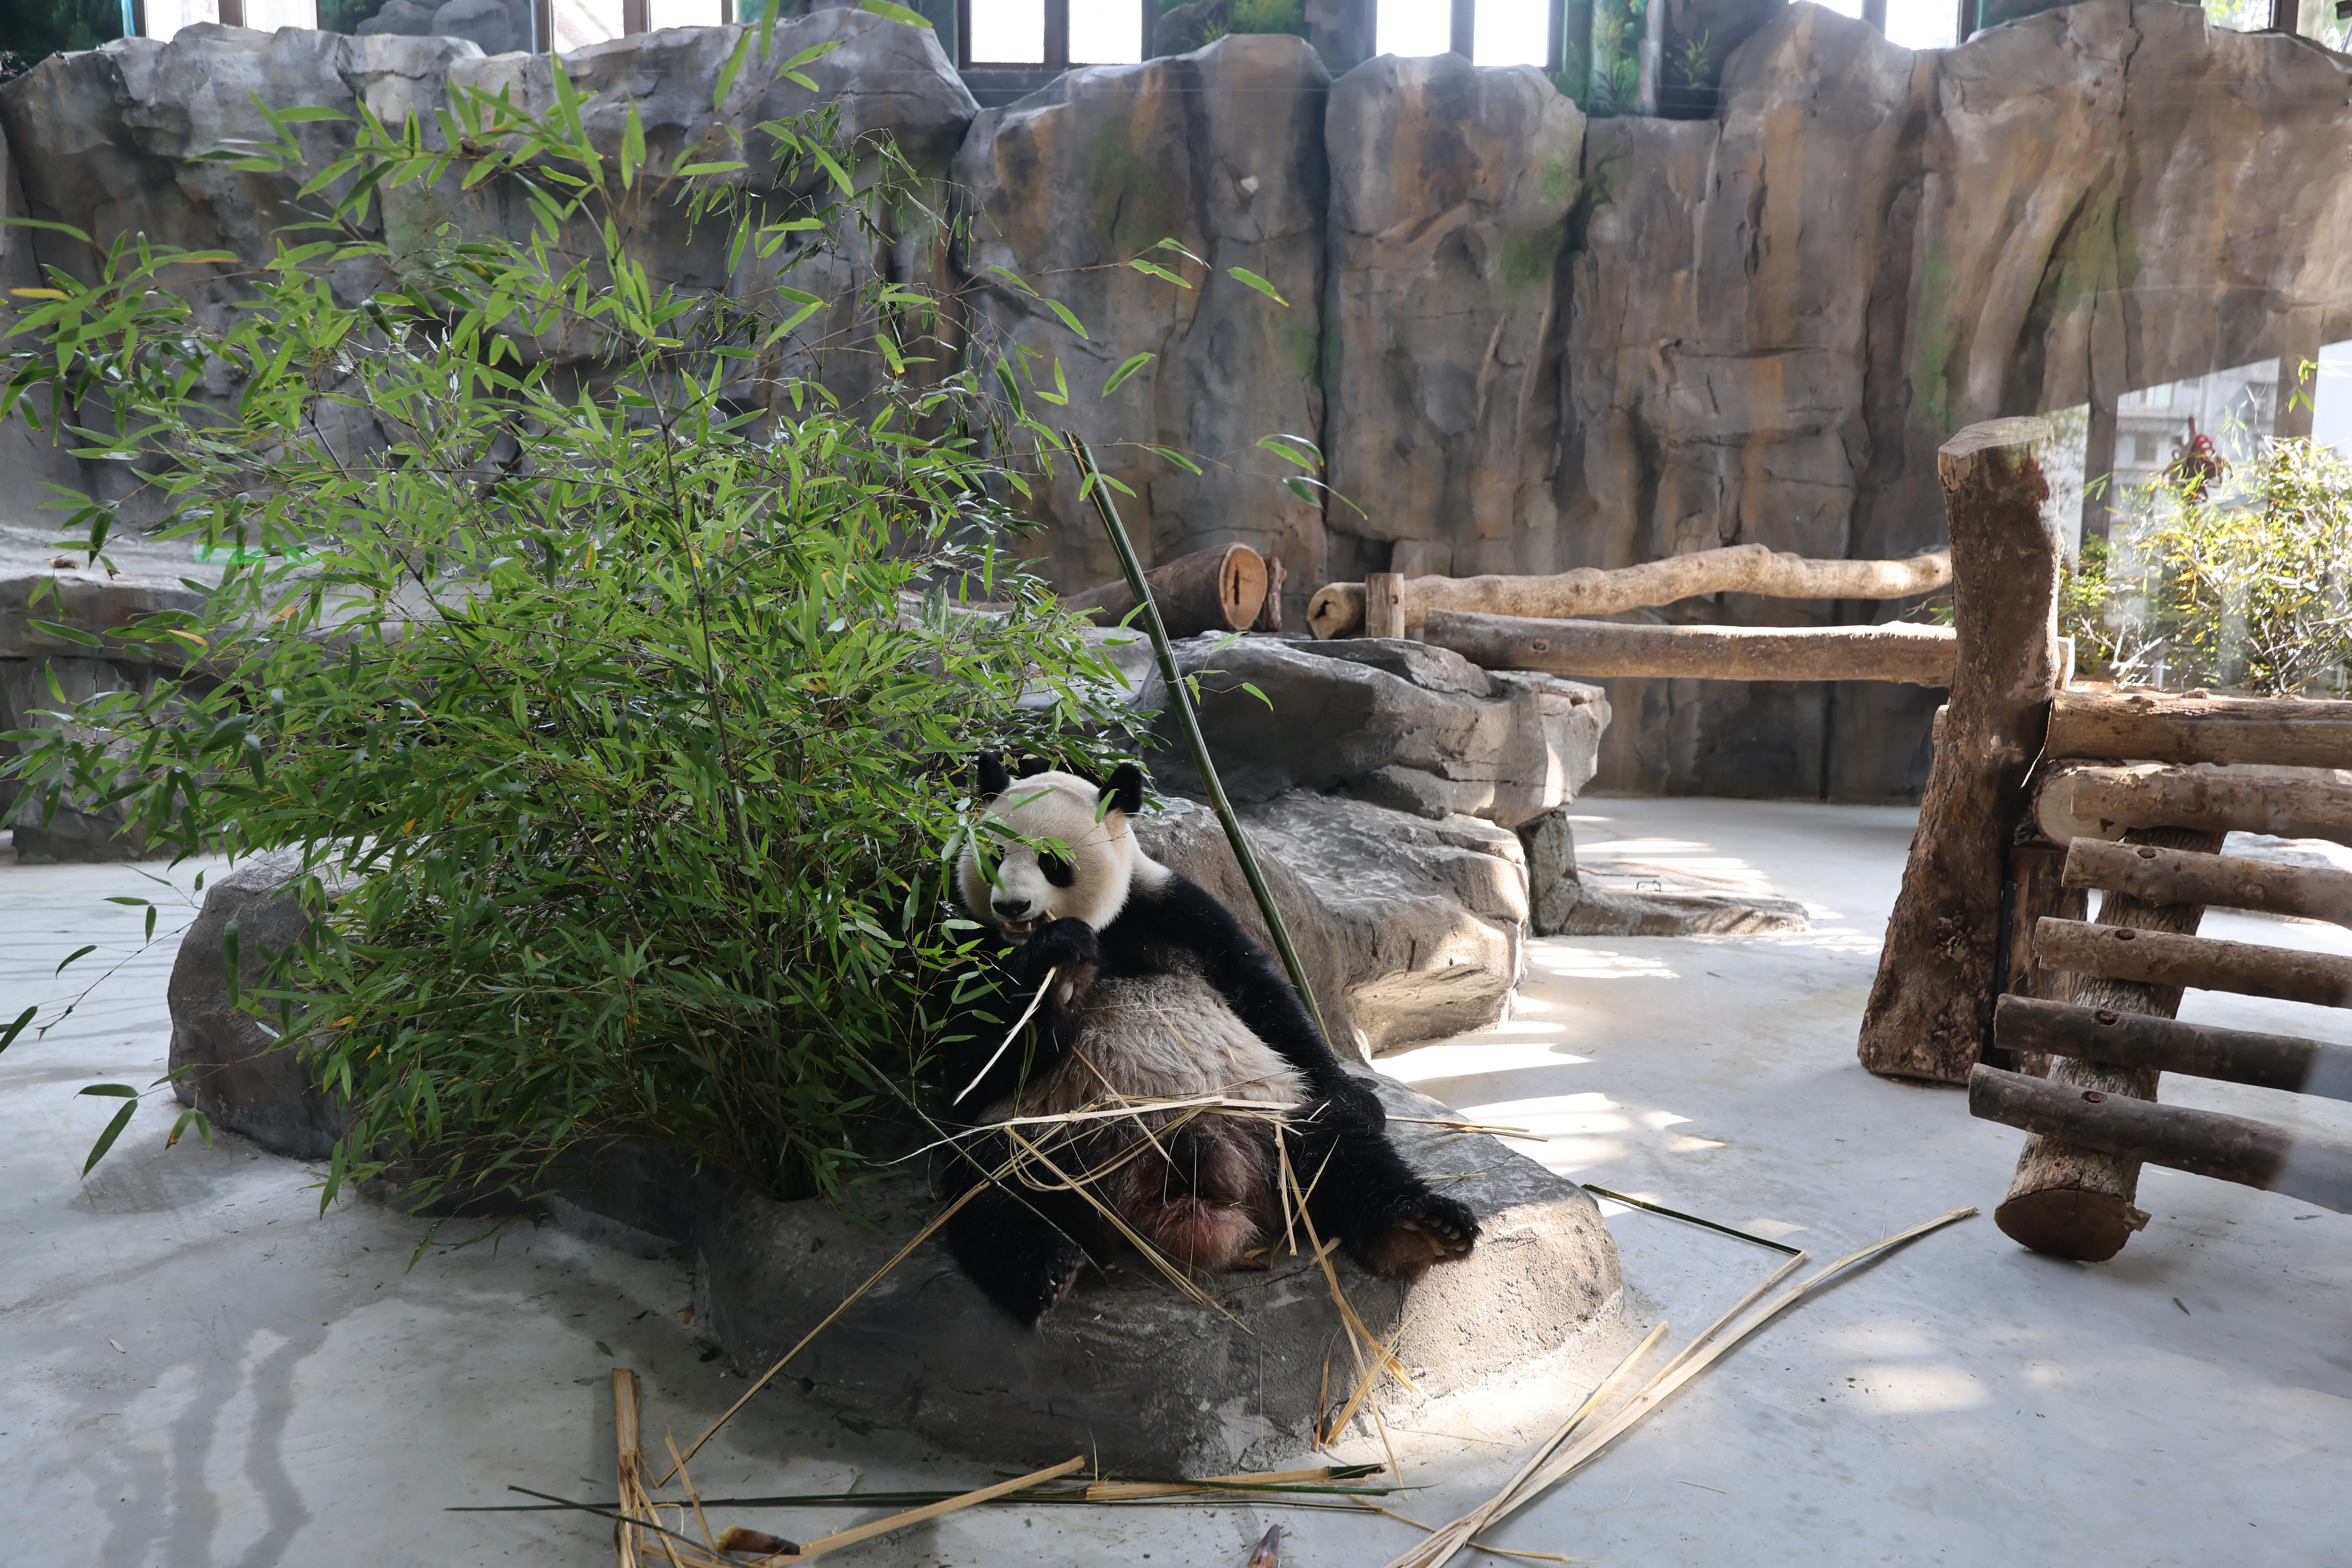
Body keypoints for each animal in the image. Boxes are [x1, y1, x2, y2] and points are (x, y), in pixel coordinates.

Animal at [938, 752, 1480, 1327]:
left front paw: (1360, 1096)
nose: (1013, 907)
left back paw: (1421, 1230)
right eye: (994, 856)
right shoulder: (965, 945)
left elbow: (1262, 996)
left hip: (1266, 1112)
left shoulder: (1175, 908)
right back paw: (1043, 1272)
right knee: (989, 1190)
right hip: (1043, 1138)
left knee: (1341, 1149)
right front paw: (1058, 966)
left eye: (1052, 863)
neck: (1103, 929)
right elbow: (971, 1060)